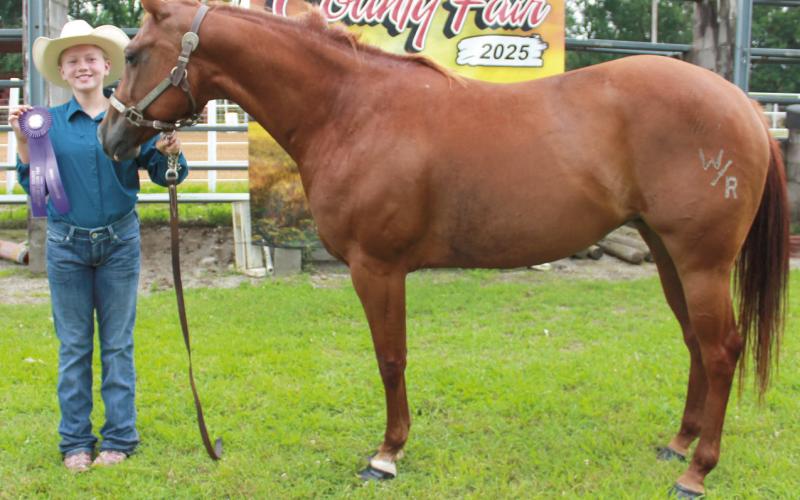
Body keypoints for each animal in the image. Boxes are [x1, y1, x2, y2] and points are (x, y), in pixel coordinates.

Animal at [98, 0, 790, 496]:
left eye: (133, 53)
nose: (109, 137)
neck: (351, 110)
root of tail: (747, 107)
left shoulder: (377, 268)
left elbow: (390, 359)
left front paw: (386, 455)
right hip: (669, 254)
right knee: (696, 343)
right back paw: (678, 444)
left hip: (702, 262)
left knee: (722, 350)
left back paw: (695, 472)